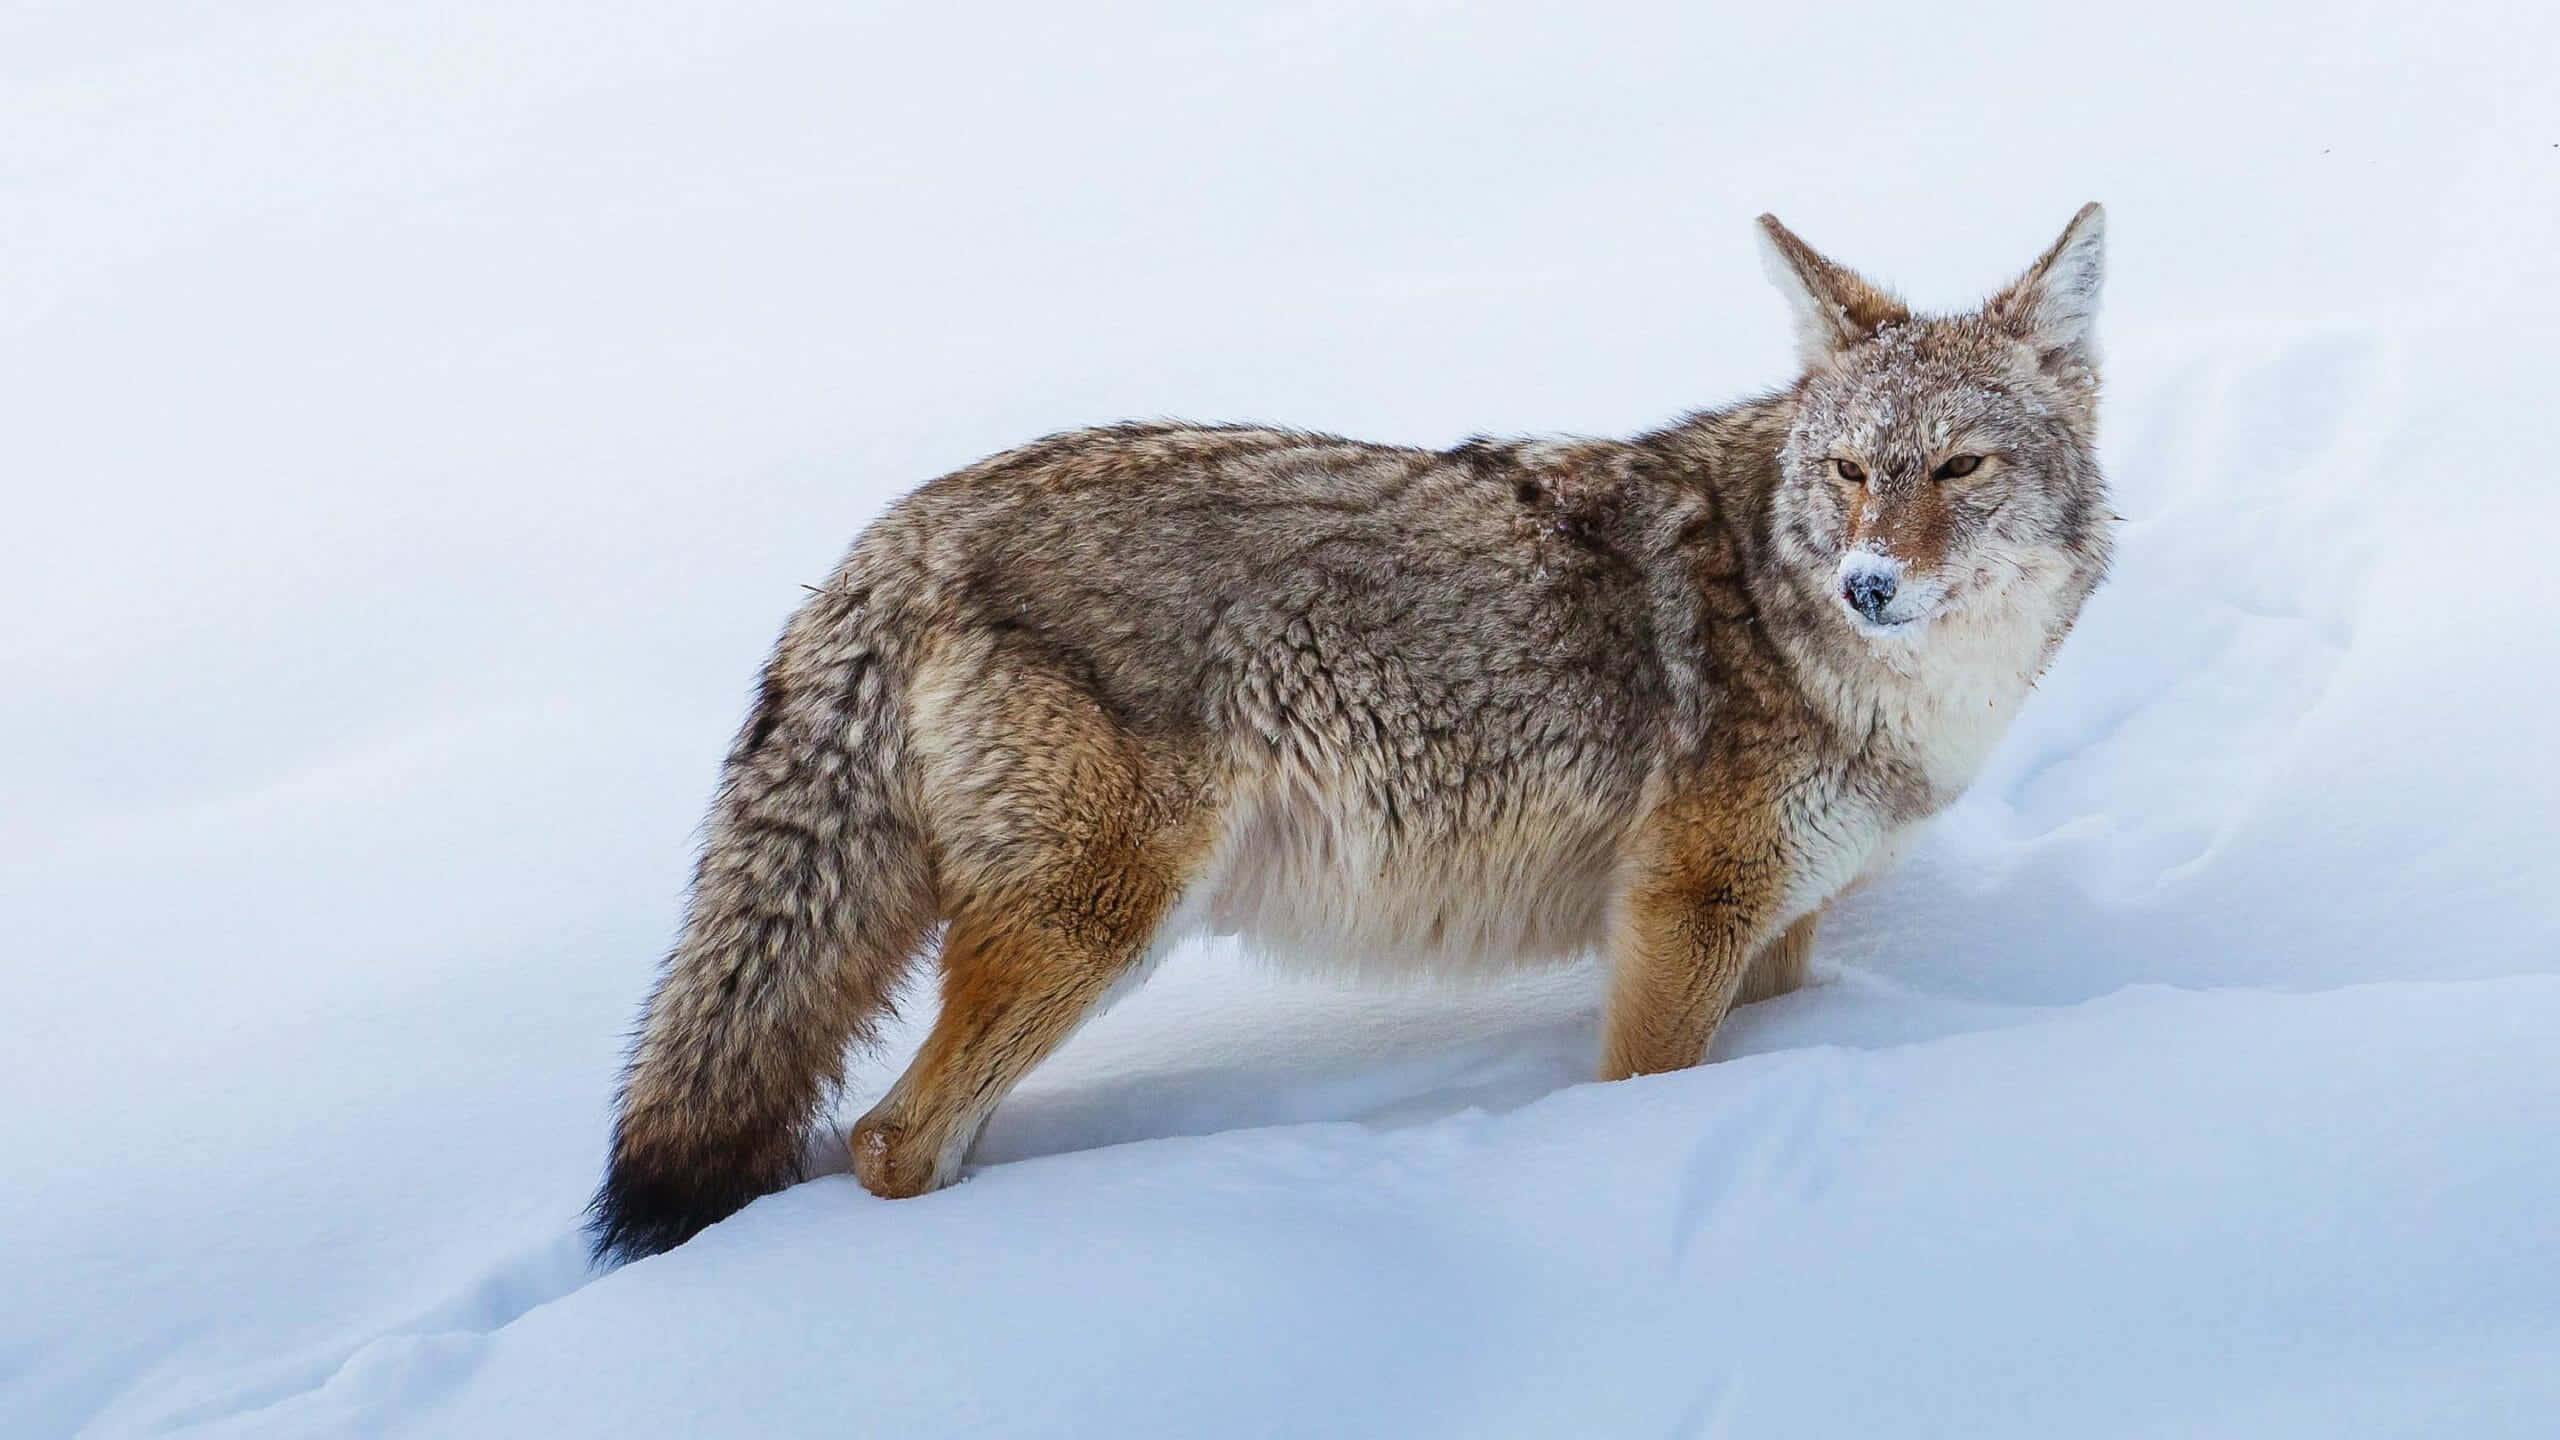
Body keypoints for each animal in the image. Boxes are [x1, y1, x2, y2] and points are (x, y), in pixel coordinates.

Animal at [590, 206, 2113, 1262]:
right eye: (1850, 471)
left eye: (1957, 468)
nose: (1868, 585)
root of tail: (901, 529)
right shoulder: (1682, 916)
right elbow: (1645, 1088)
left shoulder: (1780, 926)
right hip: (1097, 928)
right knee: (889, 1141)